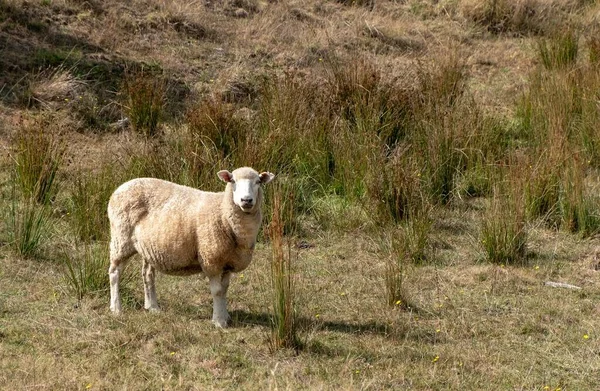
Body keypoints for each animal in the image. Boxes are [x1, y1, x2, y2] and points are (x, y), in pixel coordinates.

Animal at [107, 167, 274, 330]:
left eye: (258, 182)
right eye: (233, 181)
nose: (246, 200)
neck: (223, 213)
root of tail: (121, 187)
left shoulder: (227, 262)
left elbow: (225, 289)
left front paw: (226, 316)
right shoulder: (211, 260)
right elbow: (217, 291)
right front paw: (218, 321)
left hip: (148, 246)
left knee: (147, 274)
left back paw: (152, 307)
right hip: (121, 239)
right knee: (115, 273)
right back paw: (116, 308)